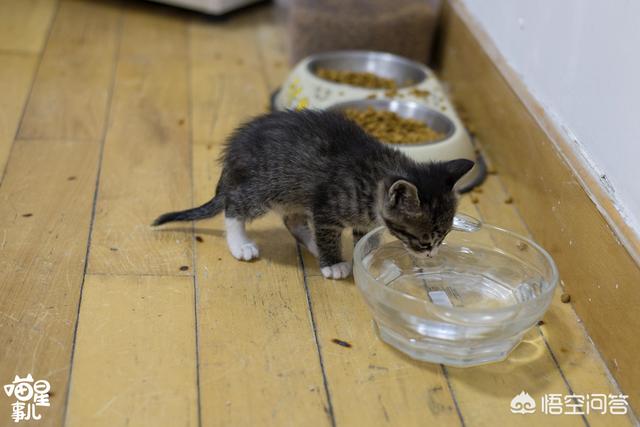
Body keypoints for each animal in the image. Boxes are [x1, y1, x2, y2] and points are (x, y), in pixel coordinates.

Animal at [154, 108, 476, 280]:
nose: (432, 253)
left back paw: (311, 244)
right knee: (234, 208)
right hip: (263, 187)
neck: (376, 175)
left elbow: (365, 241)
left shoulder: (361, 219)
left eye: (444, 236)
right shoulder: (326, 208)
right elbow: (328, 232)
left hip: (292, 194)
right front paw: (333, 264)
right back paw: (241, 243)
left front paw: (369, 260)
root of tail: (233, 152)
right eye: (423, 240)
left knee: (293, 221)